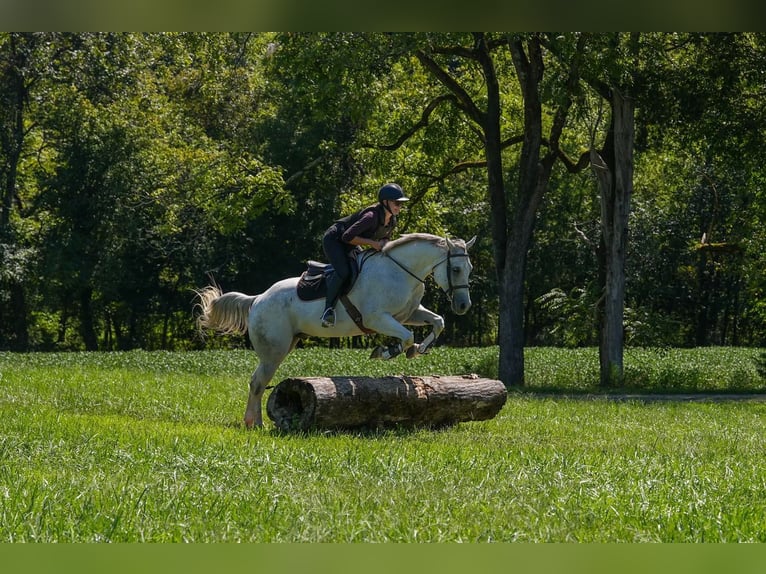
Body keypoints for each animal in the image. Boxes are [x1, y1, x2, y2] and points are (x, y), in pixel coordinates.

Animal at [195, 232, 476, 428]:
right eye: (455, 269)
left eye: (469, 269)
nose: (464, 306)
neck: (402, 271)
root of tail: (257, 299)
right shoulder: (377, 318)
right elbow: (406, 337)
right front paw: (388, 351)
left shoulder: (409, 314)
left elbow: (437, 322)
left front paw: (419, 350)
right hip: (273, 351)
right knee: (257, 381)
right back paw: (254, 423)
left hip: (286, 344)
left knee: (260, 381)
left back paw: (256, 422)